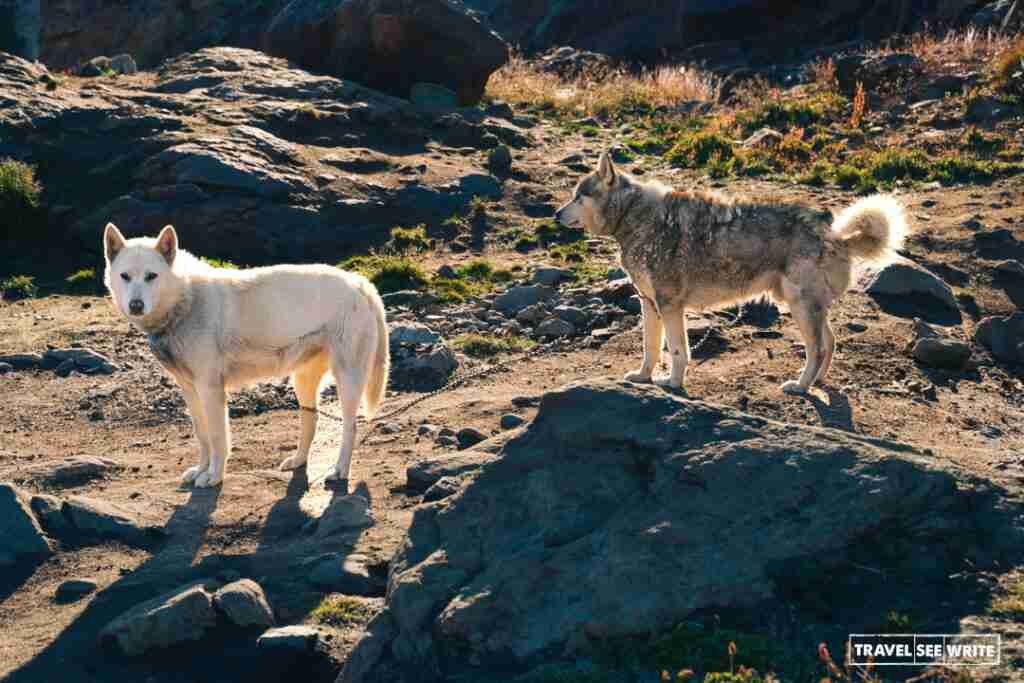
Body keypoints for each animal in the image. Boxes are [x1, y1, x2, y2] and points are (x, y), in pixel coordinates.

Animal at [103, 225, 389, 491]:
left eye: (151, 276)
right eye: (125, 276)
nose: (136, 306)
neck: (184, 301)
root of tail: (361, 283)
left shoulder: (210, 389)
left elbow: (217, 437)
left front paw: (213, 476)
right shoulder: (189, 390)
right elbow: (202, 435)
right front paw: (201, 470)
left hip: (348, 380)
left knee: (351, 426)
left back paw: (339, 469)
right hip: (303, 380)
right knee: (312, 419)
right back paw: (298, 460)